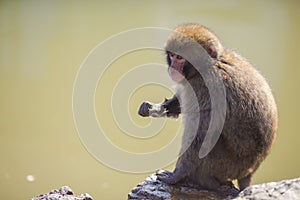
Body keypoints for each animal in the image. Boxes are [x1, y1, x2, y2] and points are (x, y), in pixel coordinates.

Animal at [137, 23, 278, 191]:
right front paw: (155, 108)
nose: (172, 68)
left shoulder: (205, 86)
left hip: (227, 166)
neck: (209, 64)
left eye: (180, 58)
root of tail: (249, 172)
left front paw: (176, 176)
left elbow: (200, 135)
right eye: (172, 55)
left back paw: (206, 182)